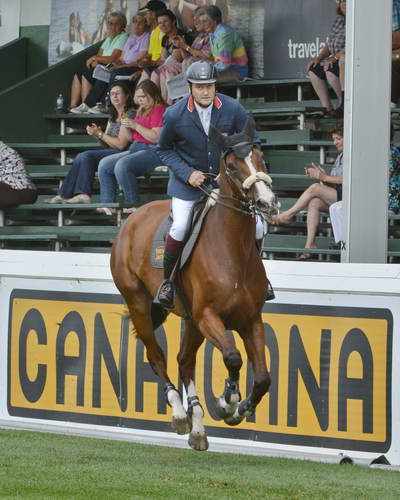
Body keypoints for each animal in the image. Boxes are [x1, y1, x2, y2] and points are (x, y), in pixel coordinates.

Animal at [109, 119, 278, 452]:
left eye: (260, 157)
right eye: (232, 166)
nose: (266, 202)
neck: (233, 250)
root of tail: (133, 218)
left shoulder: (250, 319)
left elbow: (263, 378)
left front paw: (239, 409)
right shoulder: (208, 316)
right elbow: (232, 357)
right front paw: (228, 401)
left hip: (191, 321)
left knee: (184, 361)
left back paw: (197, 426)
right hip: (139, 304)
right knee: (157, 356)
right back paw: (178, 412)